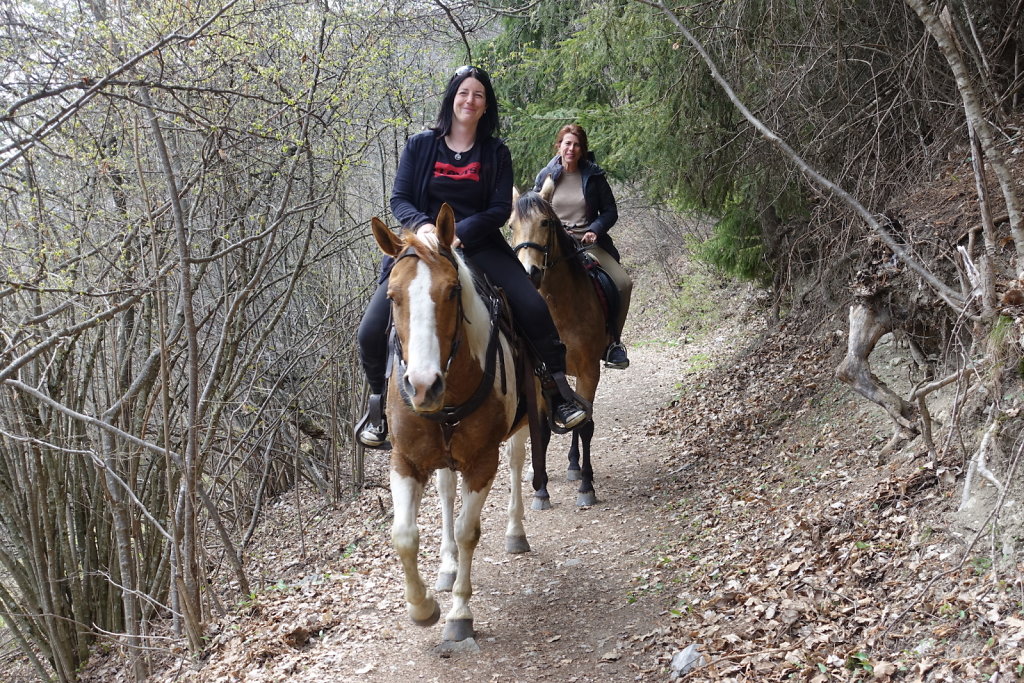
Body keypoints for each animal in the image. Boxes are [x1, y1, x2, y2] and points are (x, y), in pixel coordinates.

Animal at [376, 205, 536, 643]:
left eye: (451, 291)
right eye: (392, 297)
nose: (423, 386)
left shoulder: (482, 462)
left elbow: (469, 530)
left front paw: (459, 613)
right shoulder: (406, 461)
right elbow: (404, 535)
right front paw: (422, 607)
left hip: (519, 429)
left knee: (516, 463)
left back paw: (515, 532)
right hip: (442, 455)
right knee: (446, 492)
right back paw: (446, 567)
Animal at [507, 181, 602, 507]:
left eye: (545, 222)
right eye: (511, 226)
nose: (529, 273)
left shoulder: (589, 371)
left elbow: (585, 425)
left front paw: (586, 487)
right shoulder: (540, 377)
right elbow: (542, 430)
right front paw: (541, 490)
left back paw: (576, 467)